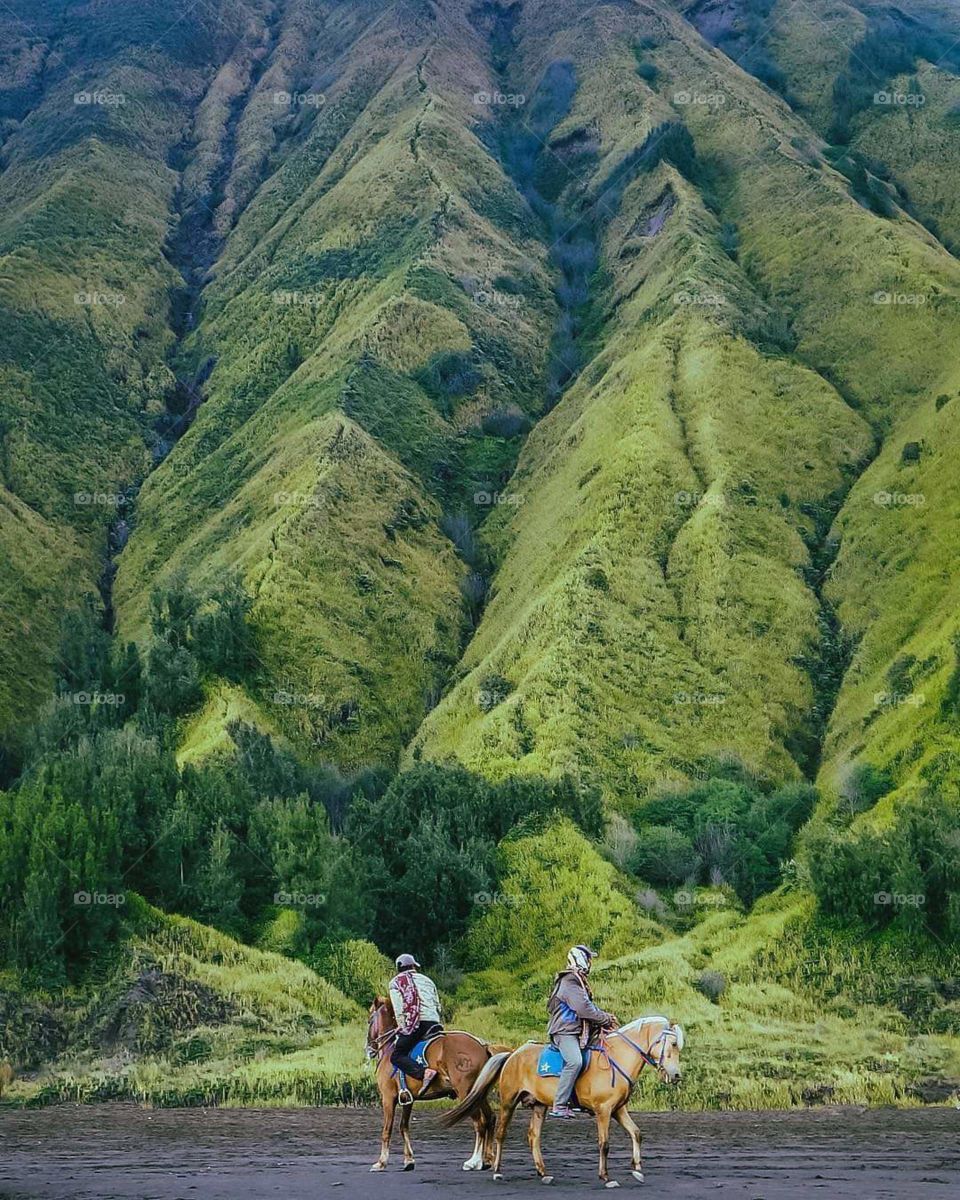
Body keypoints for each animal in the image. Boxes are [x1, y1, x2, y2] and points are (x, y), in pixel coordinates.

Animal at [364, 993, 506, 1171]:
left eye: (370, 1019)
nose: (369, 1048)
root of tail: (482, 1046)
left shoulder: (388, 1099)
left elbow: (387, 1130)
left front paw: (381, 1162)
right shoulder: (408, 1100)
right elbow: (403, 1127)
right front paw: (409, 1160)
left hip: (466, 1092)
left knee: (479, 1123)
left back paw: (473, 1161)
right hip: (479, 1094)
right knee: (489, 1119)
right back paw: (487, 1159)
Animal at [441, 1012, 681, 1190]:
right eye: (673, 1043)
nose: (676, 1075)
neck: (615, 1060)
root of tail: (513, 1053)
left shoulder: (618, 1109)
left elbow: (636, 1133)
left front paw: (637, 1169)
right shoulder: (603, 1111)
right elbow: (604, 1144)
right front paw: (606, 1177)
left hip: (539, 1106)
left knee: (533, 1136)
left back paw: (543, 1173)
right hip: (508, 1102)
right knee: (501, 1133)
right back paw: (497, 1171)